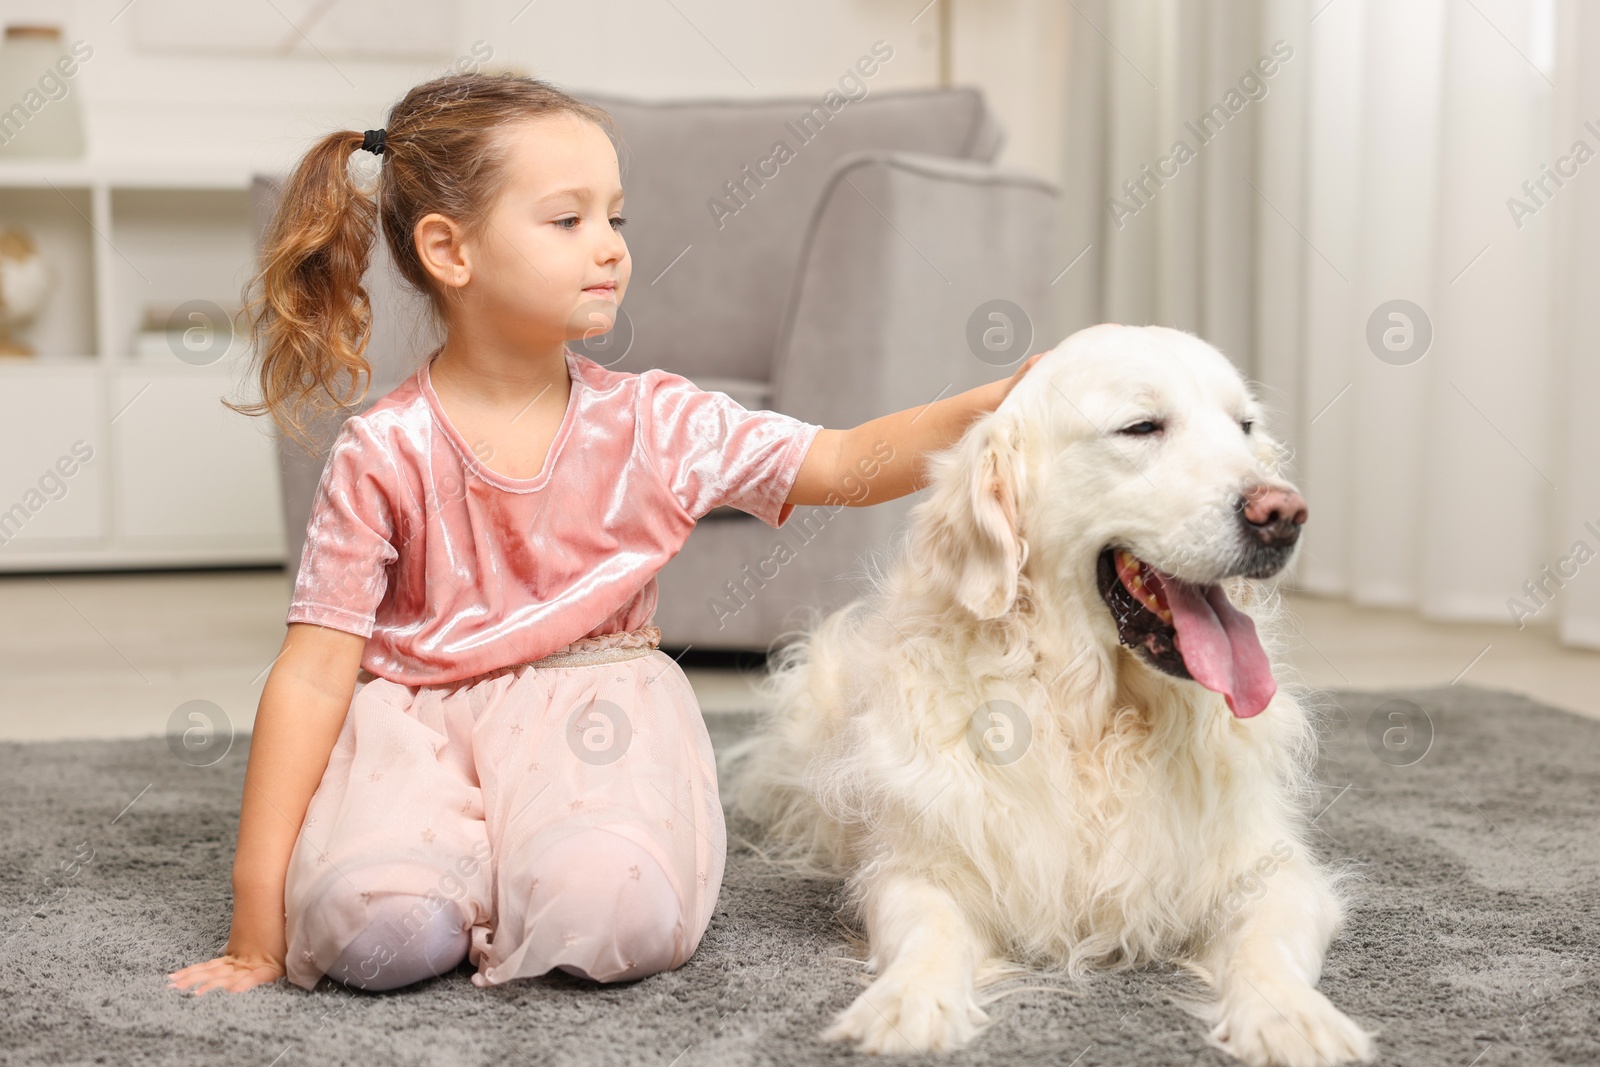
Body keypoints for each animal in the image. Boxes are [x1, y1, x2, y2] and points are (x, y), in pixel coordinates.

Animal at [732, 326, 1382, 1067]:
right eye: (1141, 426)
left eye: (1244, 427)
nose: (1283, 514)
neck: (1095, 721)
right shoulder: (922, 864)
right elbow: (929, 928)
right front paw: (910, 1001)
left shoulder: (1267, 866)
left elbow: (1268, 940)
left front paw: (1290, 1014)